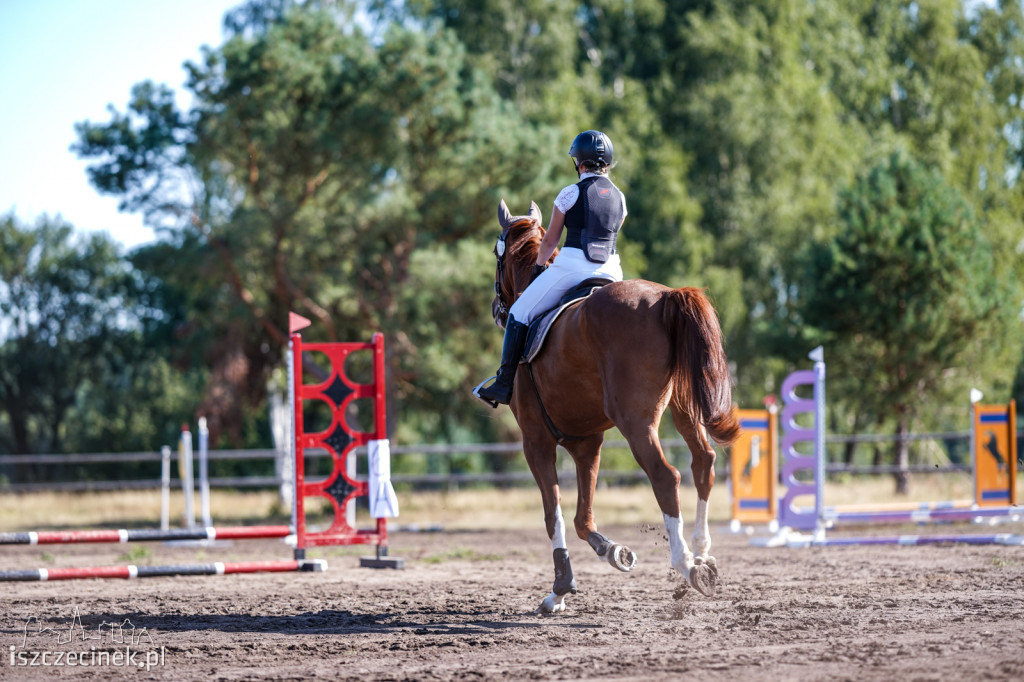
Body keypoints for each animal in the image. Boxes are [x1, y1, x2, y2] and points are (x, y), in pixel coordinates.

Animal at [489, 197, 741, 610]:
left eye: (497, 256)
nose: (498, 308)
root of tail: (665, 297)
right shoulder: (587, 443)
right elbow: (582, 518)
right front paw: (613, 552)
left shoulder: (535, 441)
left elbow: (553, 514)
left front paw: (559, 589)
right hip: (683, 409)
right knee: (703, 462)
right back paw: (703, 552)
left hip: (636, 422)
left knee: (666, 477)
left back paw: (688, 565)